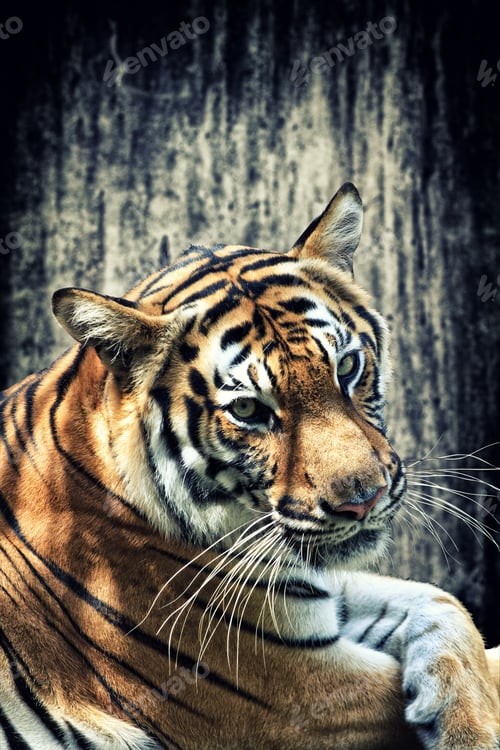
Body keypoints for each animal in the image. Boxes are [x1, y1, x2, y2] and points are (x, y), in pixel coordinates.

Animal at [0, 181, 499, 750]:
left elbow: (442, 602)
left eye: (348, 366)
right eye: (247, 410)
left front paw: (459, 721)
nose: (363, 499)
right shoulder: (297, 698)